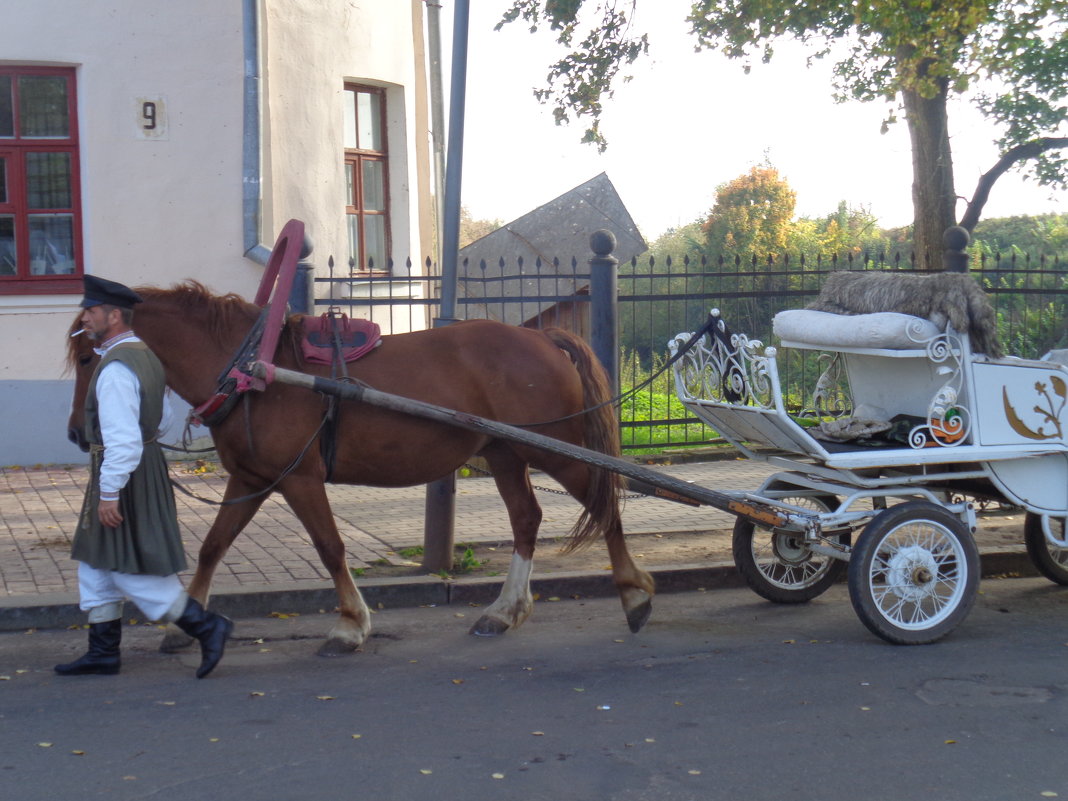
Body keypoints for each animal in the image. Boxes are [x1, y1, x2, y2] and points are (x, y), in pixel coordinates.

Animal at [66, 281, 653, 657]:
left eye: (88, 357)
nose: (77, 434)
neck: (252, 370)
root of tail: (541, 337)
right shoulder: (252, 479)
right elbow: (213, 546)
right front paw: (181, 626)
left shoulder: (298, 480)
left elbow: (330, 547)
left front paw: (350, 626)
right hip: (506, 453)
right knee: (527, 519)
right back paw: (504, 610)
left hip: (557, 450)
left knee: (605, 504)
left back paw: (633, 593)